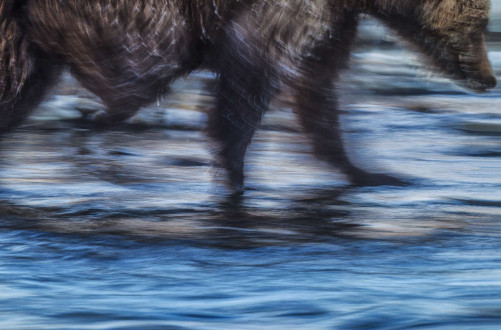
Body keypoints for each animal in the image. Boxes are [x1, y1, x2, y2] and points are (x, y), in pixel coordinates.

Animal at [0, 0, 494, 193]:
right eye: (480, 22)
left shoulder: (332, 25)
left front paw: (368, 171)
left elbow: (316, 97)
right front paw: (235, 172)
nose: (490, 79)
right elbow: (248, 79)